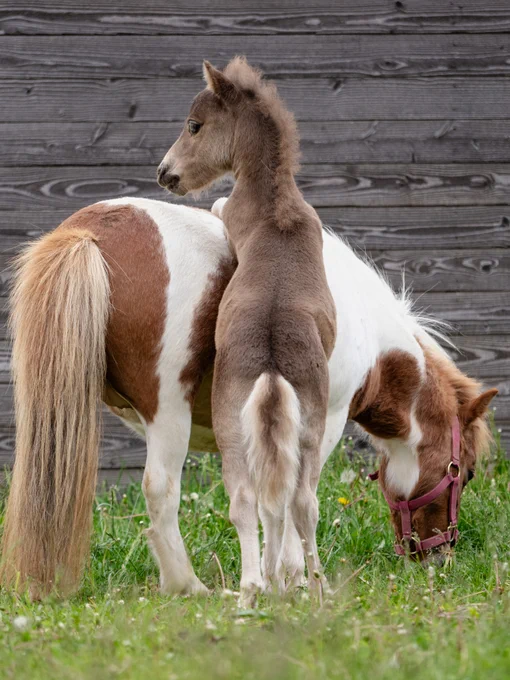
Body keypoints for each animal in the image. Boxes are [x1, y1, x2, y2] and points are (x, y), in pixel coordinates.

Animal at [0, 193, 496, 599]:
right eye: (467, 473)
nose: (438, 557)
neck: (370, 337)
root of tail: (88, 231)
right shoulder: (322, 423)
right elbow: (298, 497)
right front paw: (297, 578)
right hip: (169, 415)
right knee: (161, 489)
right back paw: (188, 585)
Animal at [157, 57, 337, 603]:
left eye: (194, 125)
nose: (164, 173)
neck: (277, 207)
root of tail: (272, 368)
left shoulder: (230, 214)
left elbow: (218, 209)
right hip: (302, 432)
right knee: (294, 501)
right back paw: (302, 584)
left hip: (234, 434)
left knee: (251, 502)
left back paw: (255, 586)